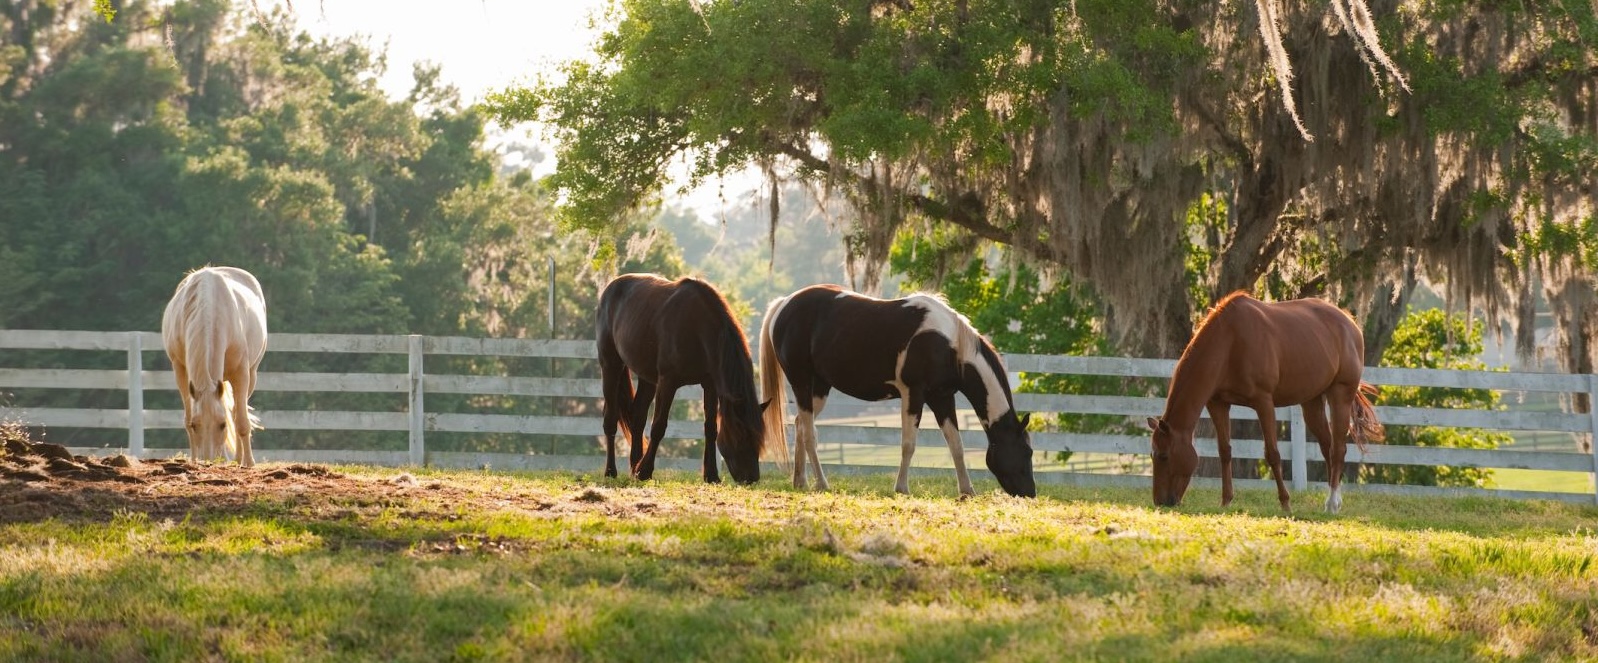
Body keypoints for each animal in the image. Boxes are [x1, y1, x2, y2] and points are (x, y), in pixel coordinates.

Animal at [160, 266, 268, 467]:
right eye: (196, 425)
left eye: (222, 424)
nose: (208, 461)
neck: (209, 310)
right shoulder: (180, 370)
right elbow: (187, 418)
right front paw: (194, 459)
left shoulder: (241, 373)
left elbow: (241, 421)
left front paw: (249, 463)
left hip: (252, 374)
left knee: (236, 411)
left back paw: (239, 459)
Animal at [596, 273, 770, 484]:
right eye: (742, 435)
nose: (751, 477)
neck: (698, 329)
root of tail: (610, 288)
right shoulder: (668, 382)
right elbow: (659, 426)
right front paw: (645, 471)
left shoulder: (710, 385)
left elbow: (710, 428)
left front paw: (711, 475)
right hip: (611, 366)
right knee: (610, 419)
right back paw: (611, 471)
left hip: (647, 378)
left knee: (637, 417)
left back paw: (633, 467)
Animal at [759, 285, 1036, 498]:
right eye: (1027, 451)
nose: (1030, 493)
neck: (951, 346)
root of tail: (784, 304)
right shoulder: (913, 394)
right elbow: (908, 444)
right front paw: (902, 488)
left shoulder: (942, 398)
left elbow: (956, 444)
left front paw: (967, 490)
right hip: (801, 382)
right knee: (810, 434)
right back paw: (822, 483)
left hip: (819, 388)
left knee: (800, 424)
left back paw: (800, 482)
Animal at [1147, 291, 1384, 513]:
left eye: (1164, 456)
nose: (1160, 502)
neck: (1229, 343)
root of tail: (1349, 322)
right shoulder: (1218, 404)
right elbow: (1225, 451)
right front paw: (1226, 501)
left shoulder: (1264, 403)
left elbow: (1273, 454)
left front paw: (1286, 503)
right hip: (1312, 403)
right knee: (1328, 447)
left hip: (1340, 395)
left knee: (1338, 450)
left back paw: (1332, 503)